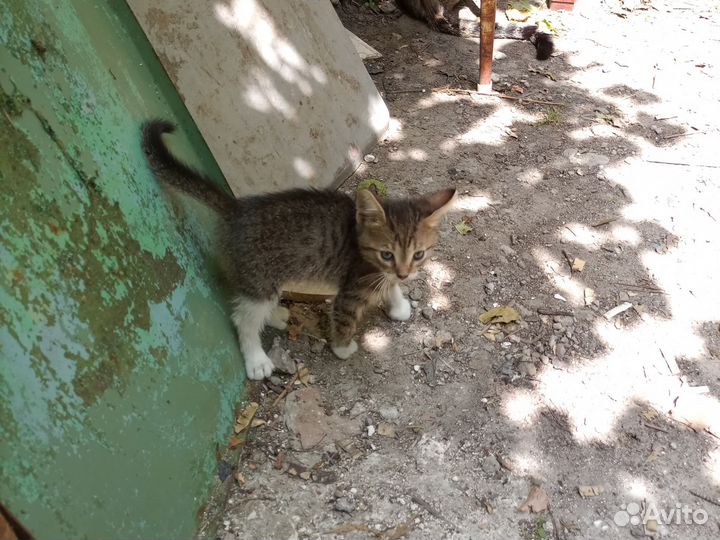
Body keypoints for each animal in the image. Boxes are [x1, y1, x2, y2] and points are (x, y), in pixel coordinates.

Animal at [142, 119, 456, 380]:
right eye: (387, 255)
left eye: (418, 255)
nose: (404, 274)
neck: (360, 241)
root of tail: (238, 209)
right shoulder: (352, 288)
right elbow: (345, 316)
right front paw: (343, 347)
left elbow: (388, 286)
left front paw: (398, 302)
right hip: (259, 278)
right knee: (243, 318)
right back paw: (256, 359)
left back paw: (276, 315)